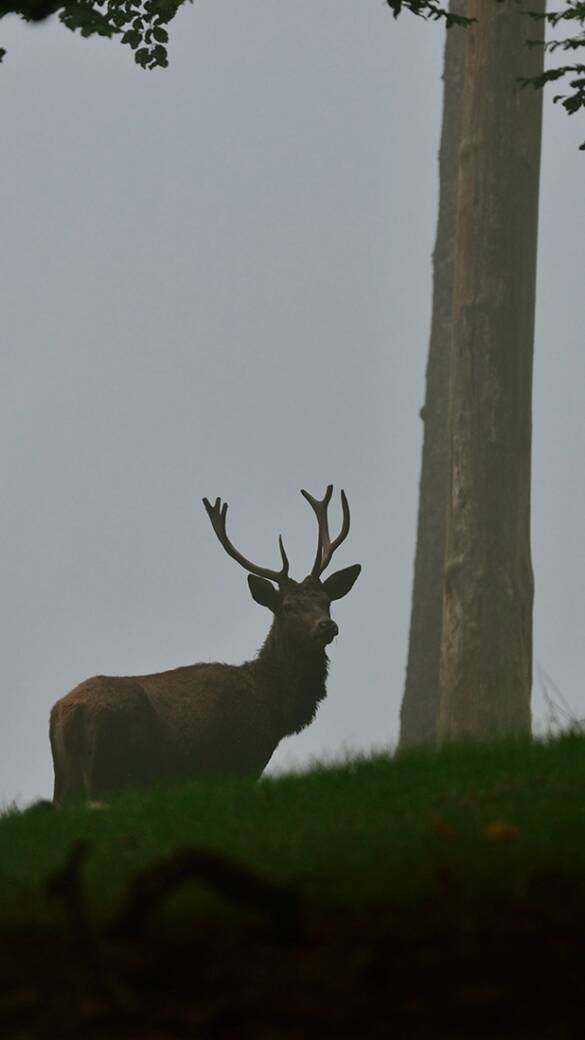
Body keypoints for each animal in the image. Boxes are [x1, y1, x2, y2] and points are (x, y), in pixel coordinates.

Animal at [49, 486, 360, 802]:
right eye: (287, 606)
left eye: (326, 601)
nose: (327, 625)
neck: (270, 707)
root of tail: (66, 713)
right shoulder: (238, 761)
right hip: (107, 773)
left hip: (67, 782)